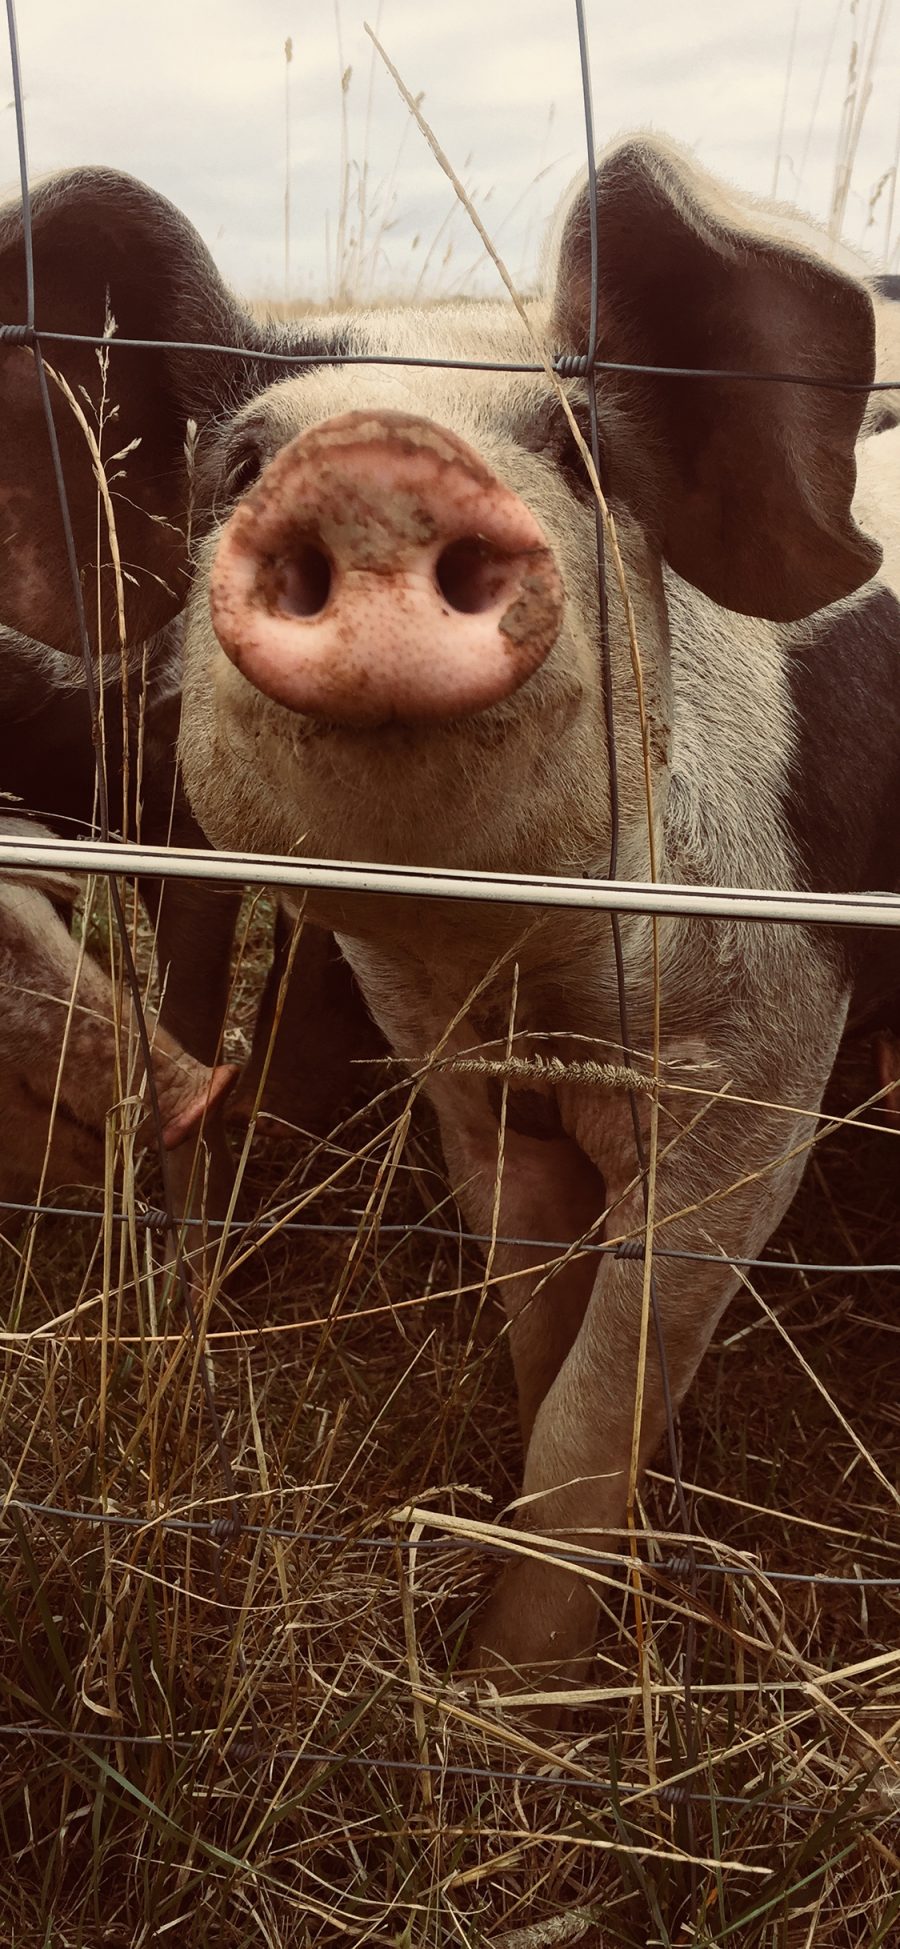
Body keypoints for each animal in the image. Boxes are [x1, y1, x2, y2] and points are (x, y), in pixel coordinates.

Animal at [0, 141, 896, 1691]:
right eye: (240, 462)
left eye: (582, 457)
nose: (376, 459)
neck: (528, 977)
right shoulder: (459, 1077)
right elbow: (535, 1316)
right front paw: (495, 1652)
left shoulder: (767, 1064)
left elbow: (612, 1378)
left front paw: (518, 1696)